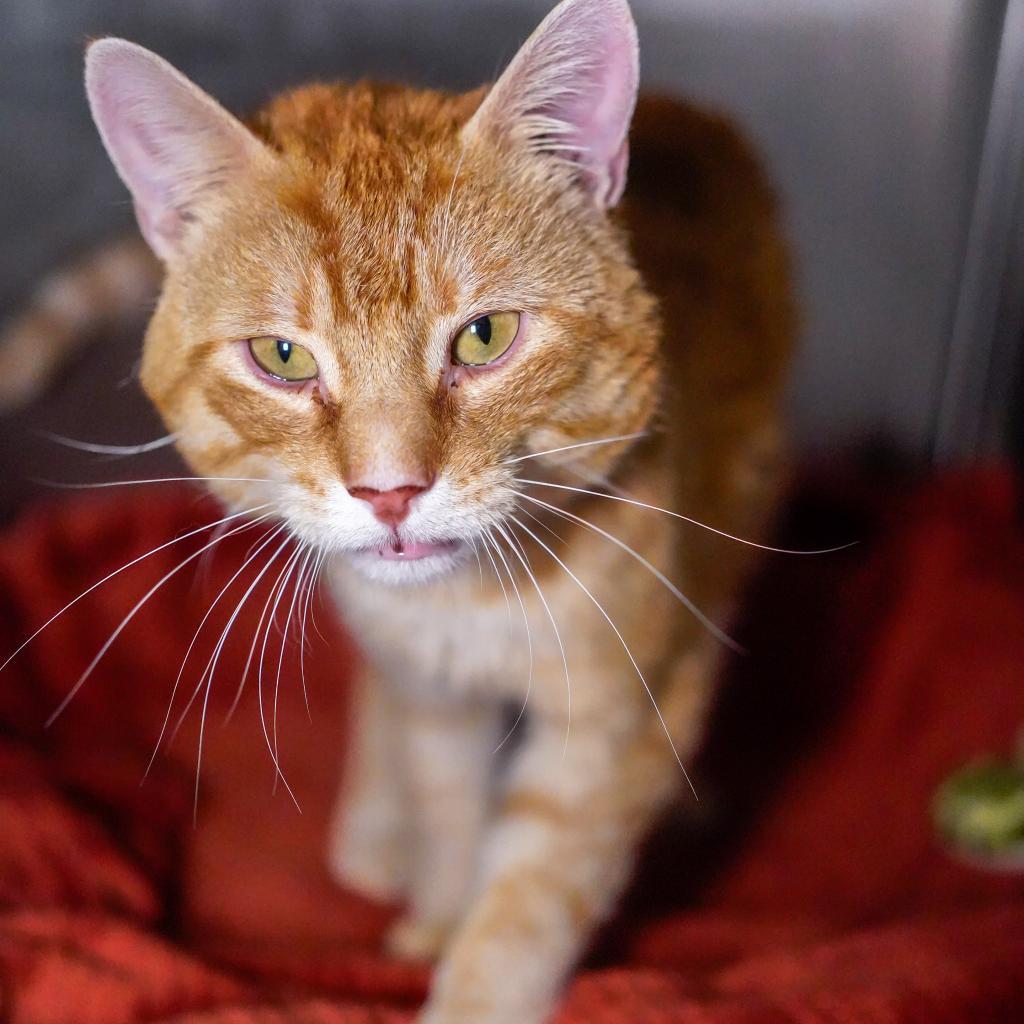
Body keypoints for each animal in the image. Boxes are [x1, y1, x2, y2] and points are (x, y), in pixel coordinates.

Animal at [24, 0, 794, 1019]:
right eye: (283, 356)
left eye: (486, 336)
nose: (389, 491)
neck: (466, 610)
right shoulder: (429, 691)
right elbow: (445, 794)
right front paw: (437, 909)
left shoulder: (620, 713)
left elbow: (534, 889)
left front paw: (473, 979)